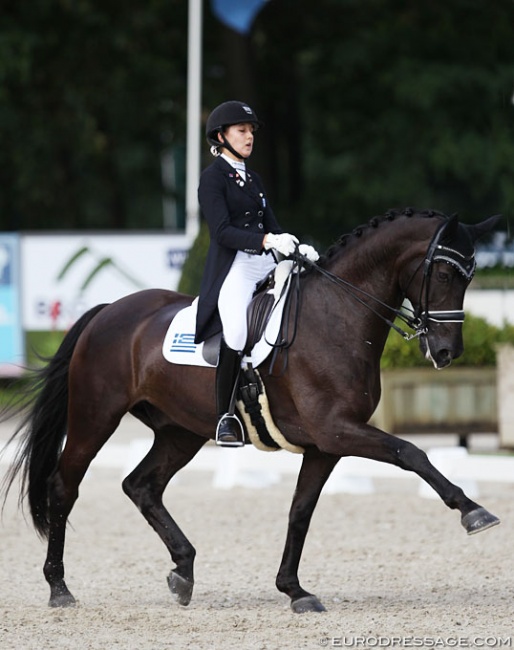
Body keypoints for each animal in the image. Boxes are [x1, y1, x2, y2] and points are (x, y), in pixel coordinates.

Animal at [2, 209, 498, 612]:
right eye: (445, 274)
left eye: (471, 276)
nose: (447, 352)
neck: (337, 316)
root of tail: (106, 312)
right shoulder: (338, 430)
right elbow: (411, 453)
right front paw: (474, 512)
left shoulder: (325, 445)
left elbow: (300, 512)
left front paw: (294, 590)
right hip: (95, 417)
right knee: (65, 487)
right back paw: (60, 588)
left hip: (180, 431)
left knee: (141, 485)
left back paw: (183, 571)